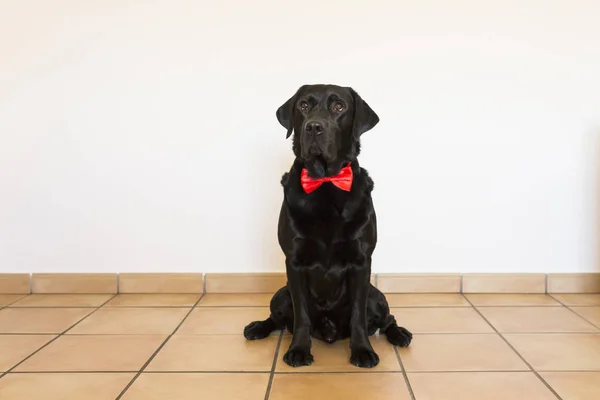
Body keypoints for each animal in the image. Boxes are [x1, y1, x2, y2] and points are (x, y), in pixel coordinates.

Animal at [244, 84, 412, 368]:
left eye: (339, 107)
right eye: (303, 105)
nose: (313, 127)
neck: (325, 183)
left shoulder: (361, 262)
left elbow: (358, 315)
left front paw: (362, 351)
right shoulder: (294, 262)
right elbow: (301, 315)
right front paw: (299, 349)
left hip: (376, 297)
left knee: (387, 319)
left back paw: (400, 334)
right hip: (280, 294)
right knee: (277, 319)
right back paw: (257, 327)